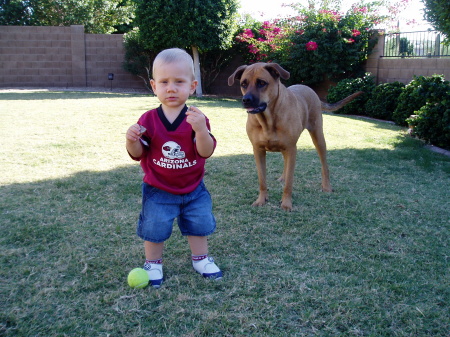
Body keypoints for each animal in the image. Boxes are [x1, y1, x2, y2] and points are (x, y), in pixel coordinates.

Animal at [229, 62, 362, 210]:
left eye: (262, 83)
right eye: (243, 84)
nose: (246, 100)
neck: (268, 120)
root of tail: (310, 89)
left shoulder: (291, 148)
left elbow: (289, 183)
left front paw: (286, 203)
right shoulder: (258, 150)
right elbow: (262, 180)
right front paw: (261, 200)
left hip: (318, 137)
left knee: (324, 165)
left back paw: (326, 186)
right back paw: (282, 177)